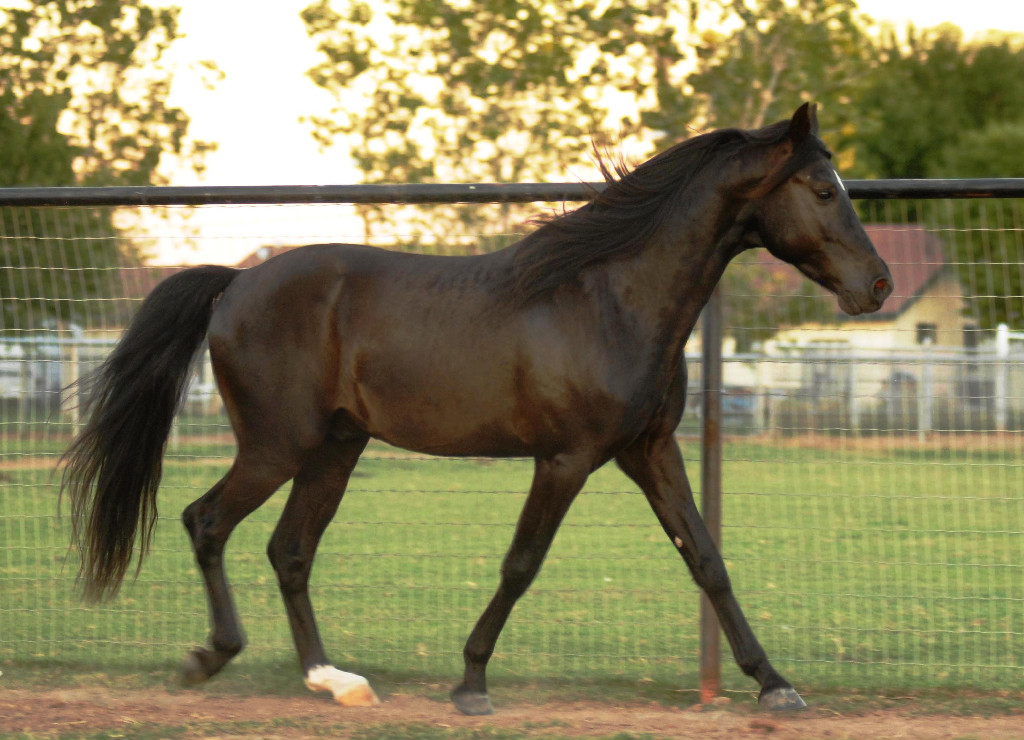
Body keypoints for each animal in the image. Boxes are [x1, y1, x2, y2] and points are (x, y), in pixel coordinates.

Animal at [61, 103, 892, 714]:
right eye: (824, 190)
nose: (878, 284)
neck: (609, 300)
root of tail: (234, 283)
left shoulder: (650, 450)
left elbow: (707, 559)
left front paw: (775, 683)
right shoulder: (566, 459)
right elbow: (521, 563)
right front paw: (470, 684)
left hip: (336, 448)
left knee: (290, 550)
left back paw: (334, 682)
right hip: (276, 446)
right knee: (207, 521)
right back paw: (211, 656)